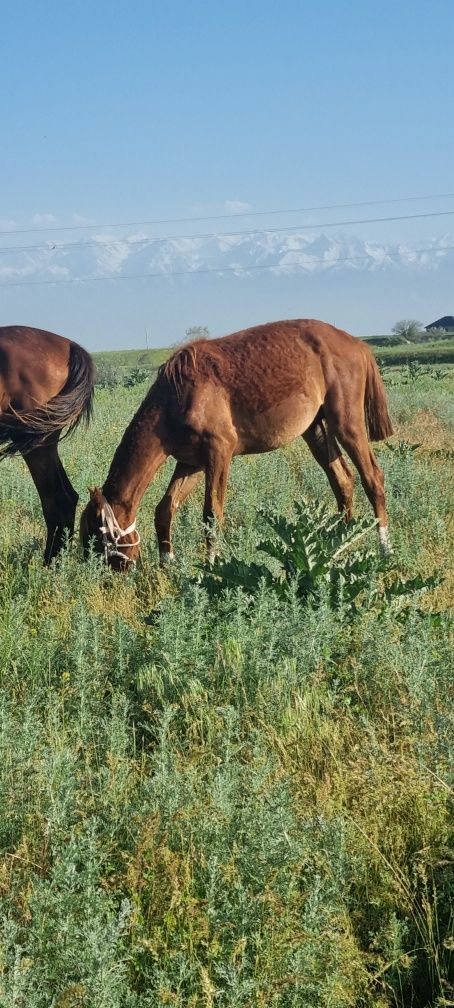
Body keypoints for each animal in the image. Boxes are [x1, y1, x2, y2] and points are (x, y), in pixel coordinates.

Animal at [0, 324, 94, 564]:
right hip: (46, 444)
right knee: (68, 497)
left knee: (58, 500)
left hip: (37, 445)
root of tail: (70, 346)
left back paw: (49, 566)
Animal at [79, 318, 391, 572]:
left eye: (97, 537)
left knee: (372, 477)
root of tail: (357, 344)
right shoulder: (190, 462)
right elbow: (165, 509)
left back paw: (384, 549)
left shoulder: (219, 454)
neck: (177, 396)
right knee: (343, 480)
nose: (106, 575)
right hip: (315, 429)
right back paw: (337, 546)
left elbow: (211, 514)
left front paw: (210, 567)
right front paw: (167, 566)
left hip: (346, 423)